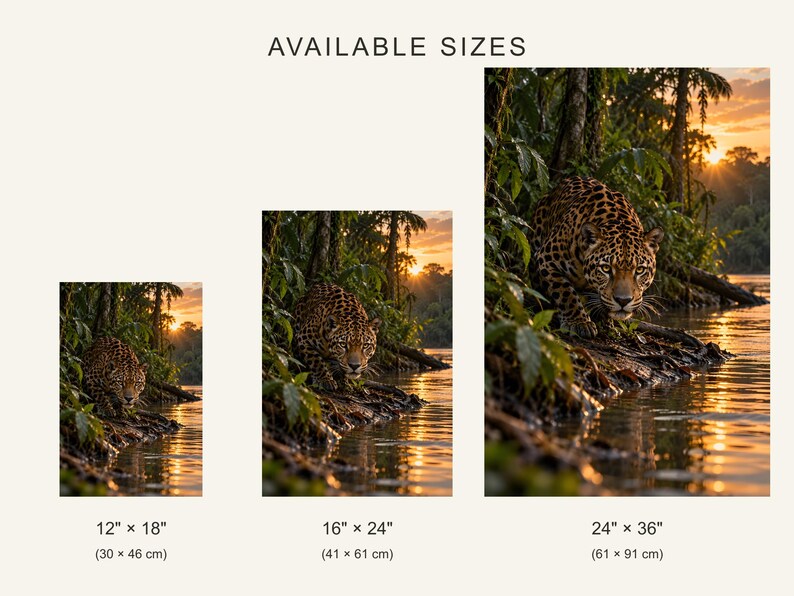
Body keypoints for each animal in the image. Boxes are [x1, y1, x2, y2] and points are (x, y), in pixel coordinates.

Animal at [529, 176, 664, 338]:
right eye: (606, 268)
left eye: (639, 270)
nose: (623, 301)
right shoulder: (546, 258)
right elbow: (565, 292)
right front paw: (579, 322)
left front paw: (606, 324)